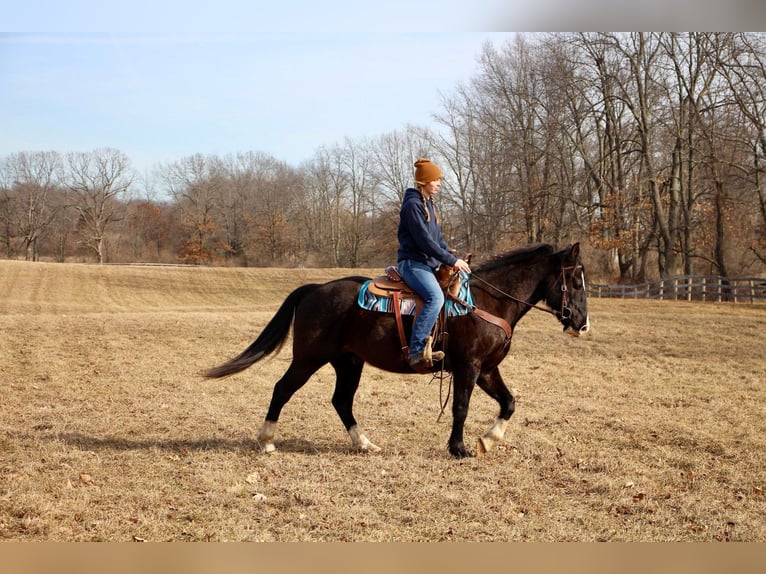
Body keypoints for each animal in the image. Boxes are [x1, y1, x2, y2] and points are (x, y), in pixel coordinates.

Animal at [204, 243, 588, 460]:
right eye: (575, 280)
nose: (582, 324)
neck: (486, 300)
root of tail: (314, 289)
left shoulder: (487, 369)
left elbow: (509, 403)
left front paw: (488, 441)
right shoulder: (469, 367)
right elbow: (461, 409)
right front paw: (459, 449)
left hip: (348, 362)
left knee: (341, 401)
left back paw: (364, 444)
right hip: (309, 359)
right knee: (282, 389)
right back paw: (267, 441)